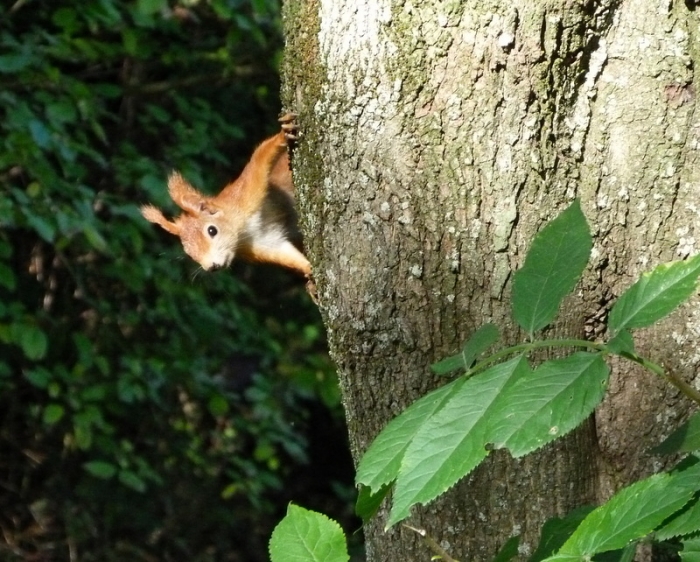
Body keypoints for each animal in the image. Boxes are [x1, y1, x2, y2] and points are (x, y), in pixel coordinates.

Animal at [140, 113, 311, 278]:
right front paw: (309, 271)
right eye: (188, 253)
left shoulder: (246, 192)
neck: (243, 229)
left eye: (212, 231)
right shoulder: (264, 242)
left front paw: (283, 134)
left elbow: (261, 155)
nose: (212, 267)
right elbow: (287, 255)